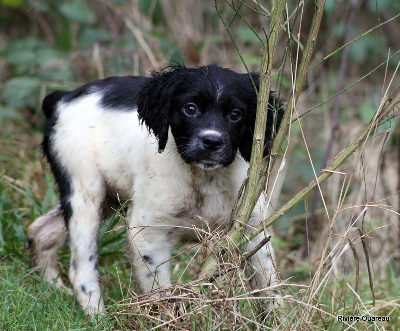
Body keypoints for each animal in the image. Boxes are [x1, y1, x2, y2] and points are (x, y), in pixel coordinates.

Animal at [28, 64, 282, 314]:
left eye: (235, 115)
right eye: (190, 109)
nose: (212, 142)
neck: (204, 179)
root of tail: (63, 99)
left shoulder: (251, 229)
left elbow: (271, 291)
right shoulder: (148, 235)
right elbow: (161, 297)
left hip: (108, 197)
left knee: (40, 230)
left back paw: (53, 290)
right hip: (85, 191)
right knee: (81, 269)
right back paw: (96, 316)